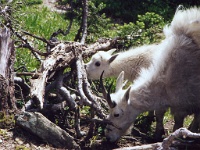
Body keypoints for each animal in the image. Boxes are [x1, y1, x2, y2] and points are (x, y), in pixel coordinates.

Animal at [102, 7, 200, 142]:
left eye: (116, 114)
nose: (108, 136)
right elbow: (159, 115)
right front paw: (157, 134)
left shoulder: (183, 104)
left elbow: (178, 124)